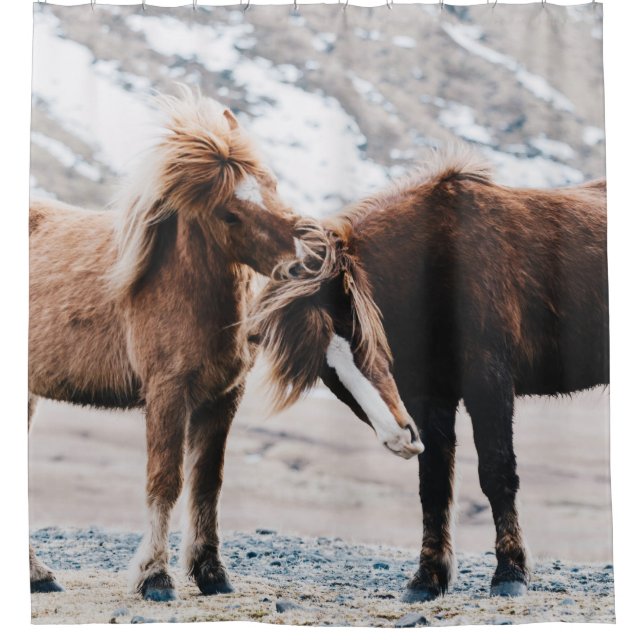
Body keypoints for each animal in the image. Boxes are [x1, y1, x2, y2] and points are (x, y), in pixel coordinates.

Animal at [29, 89, 301, 601]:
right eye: (229, 212)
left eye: (272, 183)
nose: (306, 260)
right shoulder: (167, 392)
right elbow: (165, 482)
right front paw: (154, 577)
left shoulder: (222, 397)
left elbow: (207, 483)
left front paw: (211, 573)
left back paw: (38, 575)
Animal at [249, 149, 608, 601]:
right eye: (325, 372)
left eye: (358, 333)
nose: (399, 438)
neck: (441, 263)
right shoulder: (430, 396)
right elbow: (434, 485)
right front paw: (428, 578)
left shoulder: (488, 382)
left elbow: (496, 472)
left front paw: (510, 573)